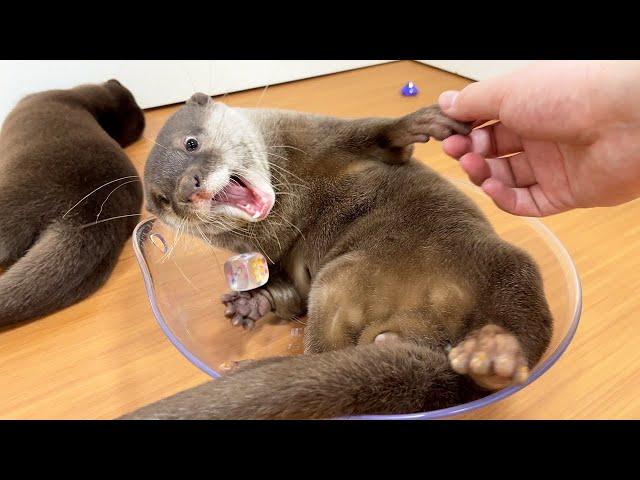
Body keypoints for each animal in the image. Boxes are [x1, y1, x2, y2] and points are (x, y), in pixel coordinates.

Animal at [122, 94, 552, 420]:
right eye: (162, 199)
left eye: (191, 143)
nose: (186, 188)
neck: (292, 202)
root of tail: (424, 332)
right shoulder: (274, 258)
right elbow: (287, 291)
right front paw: (248, 303)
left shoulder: (318, 135)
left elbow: (376, 135)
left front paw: (422, 122)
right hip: (334, 283)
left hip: (509, 269)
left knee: (524, 330)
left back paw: (495, 355)